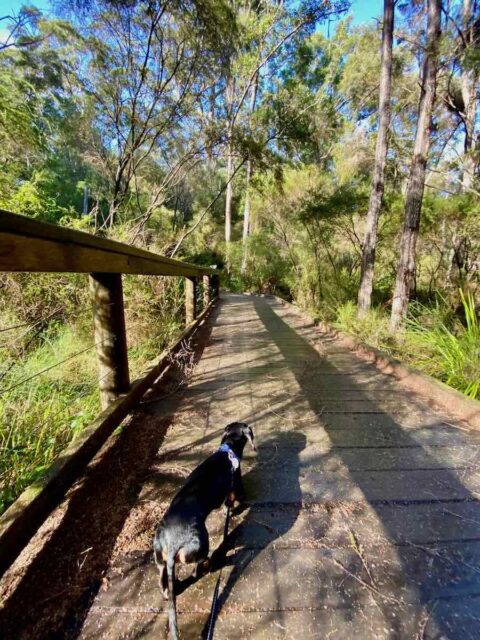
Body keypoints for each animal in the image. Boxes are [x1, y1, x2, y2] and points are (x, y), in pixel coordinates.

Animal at [155, 422, 256, 636]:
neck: (228, 449)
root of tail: (172, 542)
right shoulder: (236, 485)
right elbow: (239, 498)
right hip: (202, 545)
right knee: (197, 568)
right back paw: (209, 565)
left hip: (159, 560)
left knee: (164, 583)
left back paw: (169, 591)